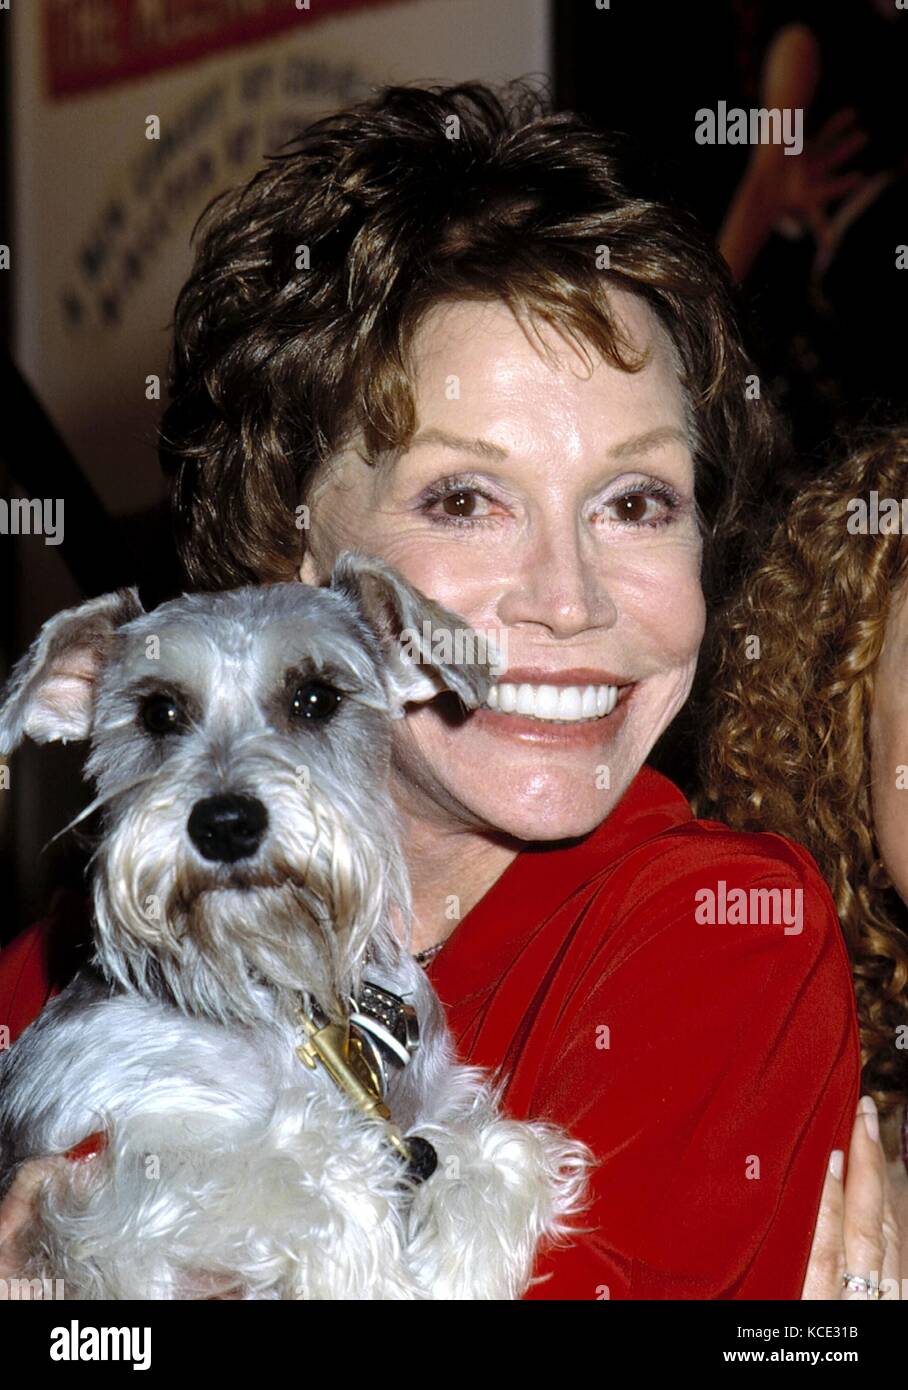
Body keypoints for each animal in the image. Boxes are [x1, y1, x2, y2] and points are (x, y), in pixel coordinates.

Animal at [0, 547, 586, 1295]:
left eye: (316, 697)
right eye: (159, 711)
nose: (225, 823)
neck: (282, 986)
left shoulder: (432, 1116)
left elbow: (501, 1153)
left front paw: (456, 1267)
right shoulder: (104, 1166)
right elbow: (315, 1171)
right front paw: (378, 1271)